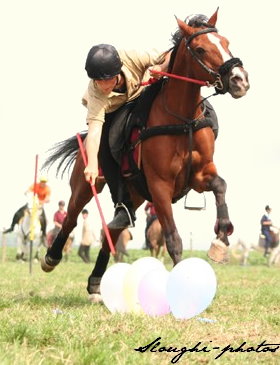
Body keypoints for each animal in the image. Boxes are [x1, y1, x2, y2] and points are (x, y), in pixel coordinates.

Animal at [40, 9, 248, 302]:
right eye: (200, 49)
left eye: (226, 42)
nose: (240, 79)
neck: (182, 117)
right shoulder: (160, 186)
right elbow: (173, 239)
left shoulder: (200, 174)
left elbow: (220, 185)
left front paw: (221, 239)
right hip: (85, 184)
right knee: (70, 218)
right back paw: (51, 258)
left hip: (135, 193)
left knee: (113, 229)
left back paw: (95, 285)